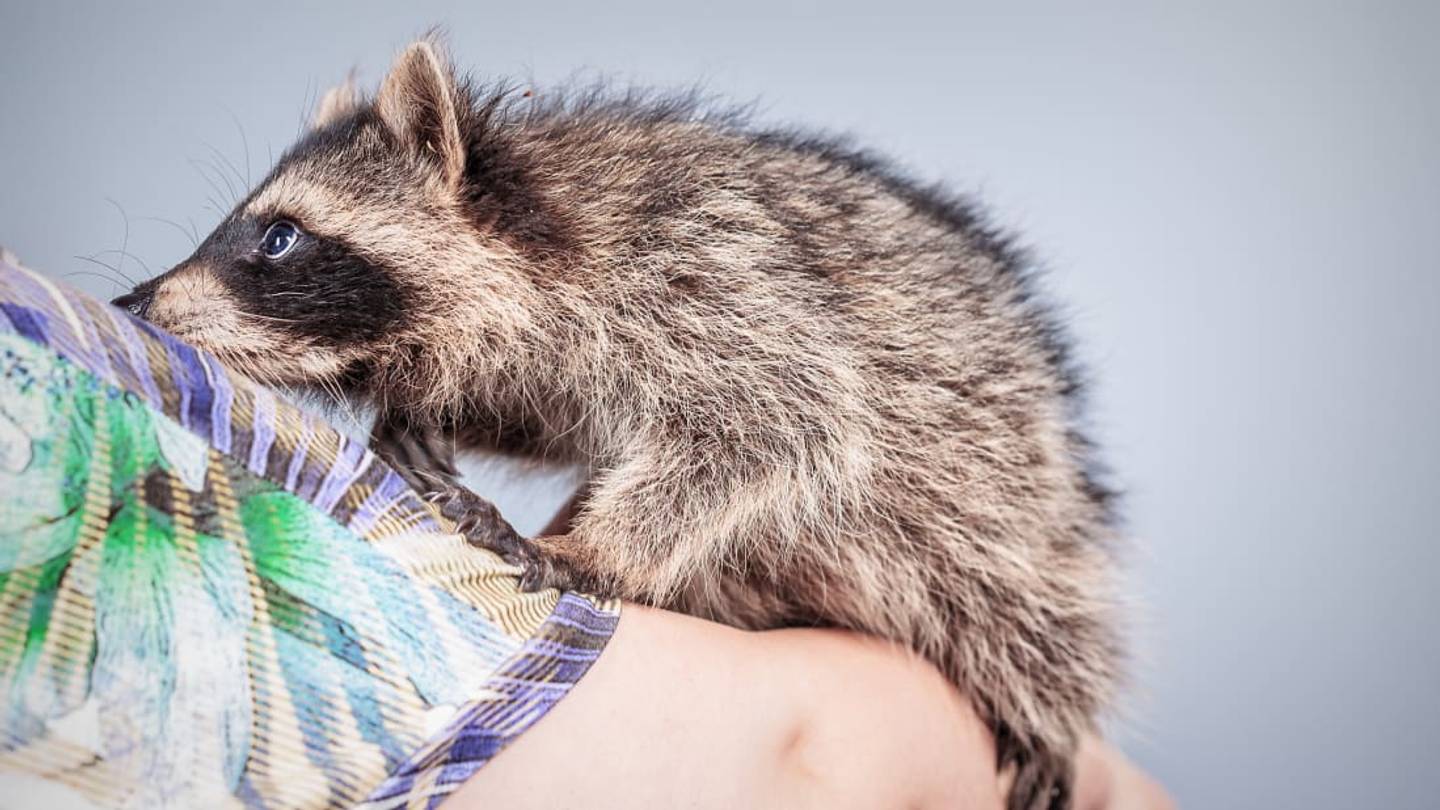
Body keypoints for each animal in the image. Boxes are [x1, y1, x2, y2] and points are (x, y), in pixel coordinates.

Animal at [113, 39, 1123, 809]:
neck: (545, 214)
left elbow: (780, 428)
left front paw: (595, 552)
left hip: (1023, 522)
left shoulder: (723, 283)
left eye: (278, 237)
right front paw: (430, 413)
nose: (133, 300)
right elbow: (555, 414)